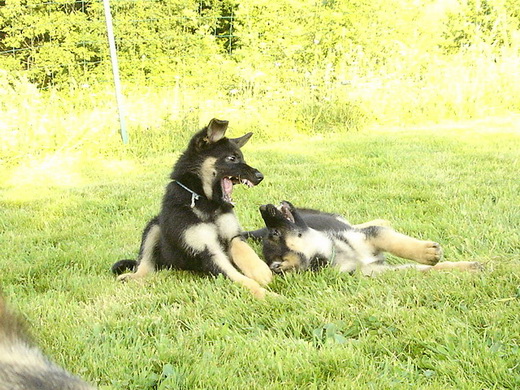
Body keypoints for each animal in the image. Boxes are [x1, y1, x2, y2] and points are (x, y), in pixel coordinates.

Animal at [112, 119, 274, 298]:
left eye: (241, 158)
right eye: (232, 158)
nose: (260, 177)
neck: (206, 203)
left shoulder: (233, 237)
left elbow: (246, 252)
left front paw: (261, 271)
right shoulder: (209, 252)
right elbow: (241, 279)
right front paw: (269, 295)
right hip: (153, 227)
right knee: (145, 264)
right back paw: (133, 277)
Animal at [254, 201, 482, 274]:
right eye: (275, 234)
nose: (263, 207)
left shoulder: (371, 237)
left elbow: (395, 242)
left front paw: (426, 252)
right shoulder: (381, 271)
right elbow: (424, 270)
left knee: (359, 224)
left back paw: (384, 220)